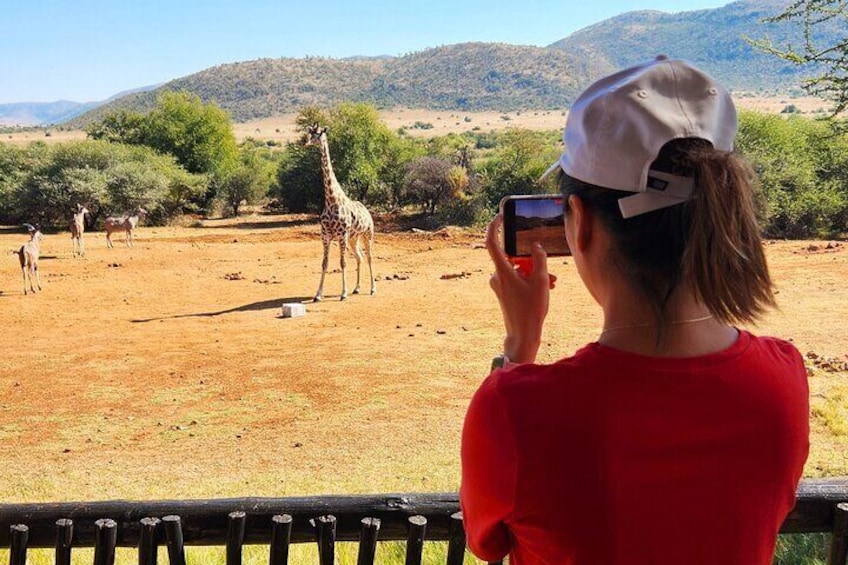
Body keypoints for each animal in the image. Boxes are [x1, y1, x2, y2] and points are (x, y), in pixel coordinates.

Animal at [304, 123, 372, 300]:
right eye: (309, 133)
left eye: (318, 134)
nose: (305, 142)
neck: (331, 200)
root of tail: (367, 211)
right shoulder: (325, 235)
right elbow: (324, 263)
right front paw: (318, 295)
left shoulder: (342, 235)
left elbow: (343, 263)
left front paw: (343, 293)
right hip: (354, 238)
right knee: (360, 257)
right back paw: (357, 288)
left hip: (367, 234)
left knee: (369, 257)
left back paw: (372, 289)